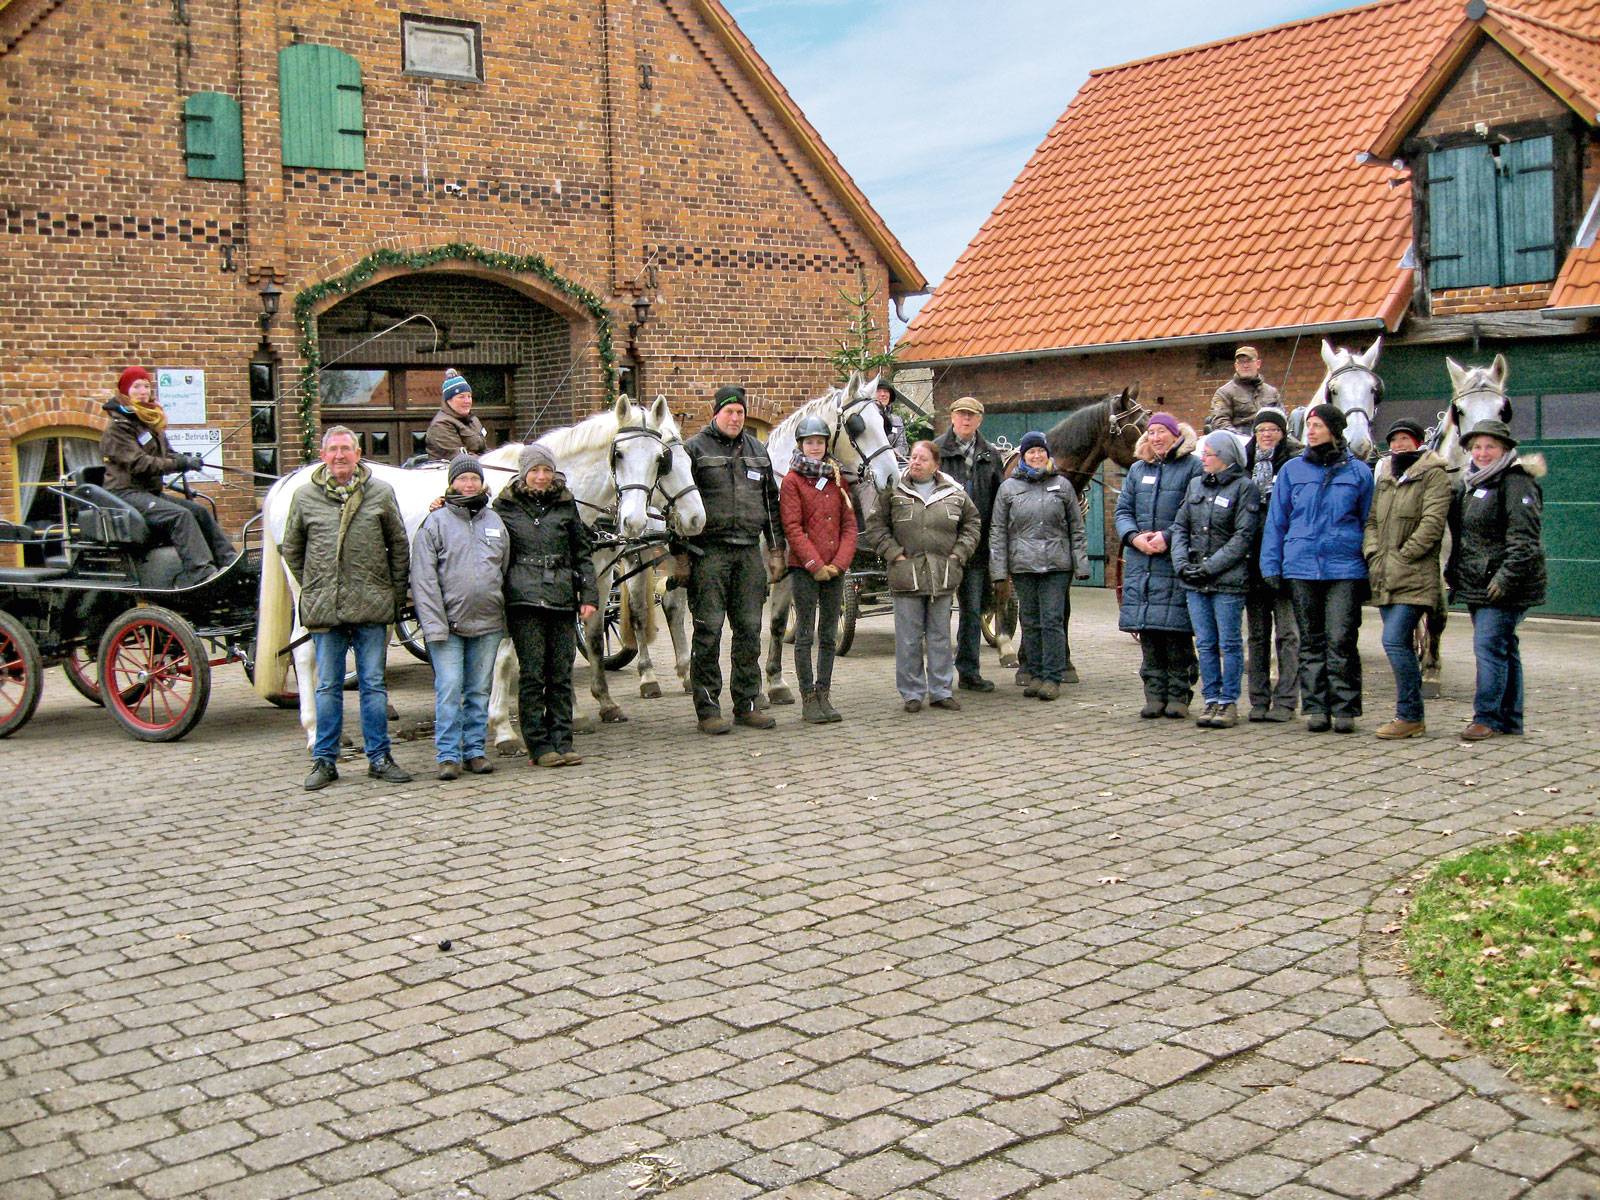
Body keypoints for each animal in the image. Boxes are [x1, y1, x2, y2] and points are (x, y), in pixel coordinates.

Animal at [252, 395, 691, 752]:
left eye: (660, 459)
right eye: (619, 456)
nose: (635, 521)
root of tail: (291, 479)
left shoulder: (588, 581)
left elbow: (582, 643)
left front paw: (587, 707)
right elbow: (507, 658)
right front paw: (505, 727)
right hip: (311, 588)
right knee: (307, 651)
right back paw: (316, 731)